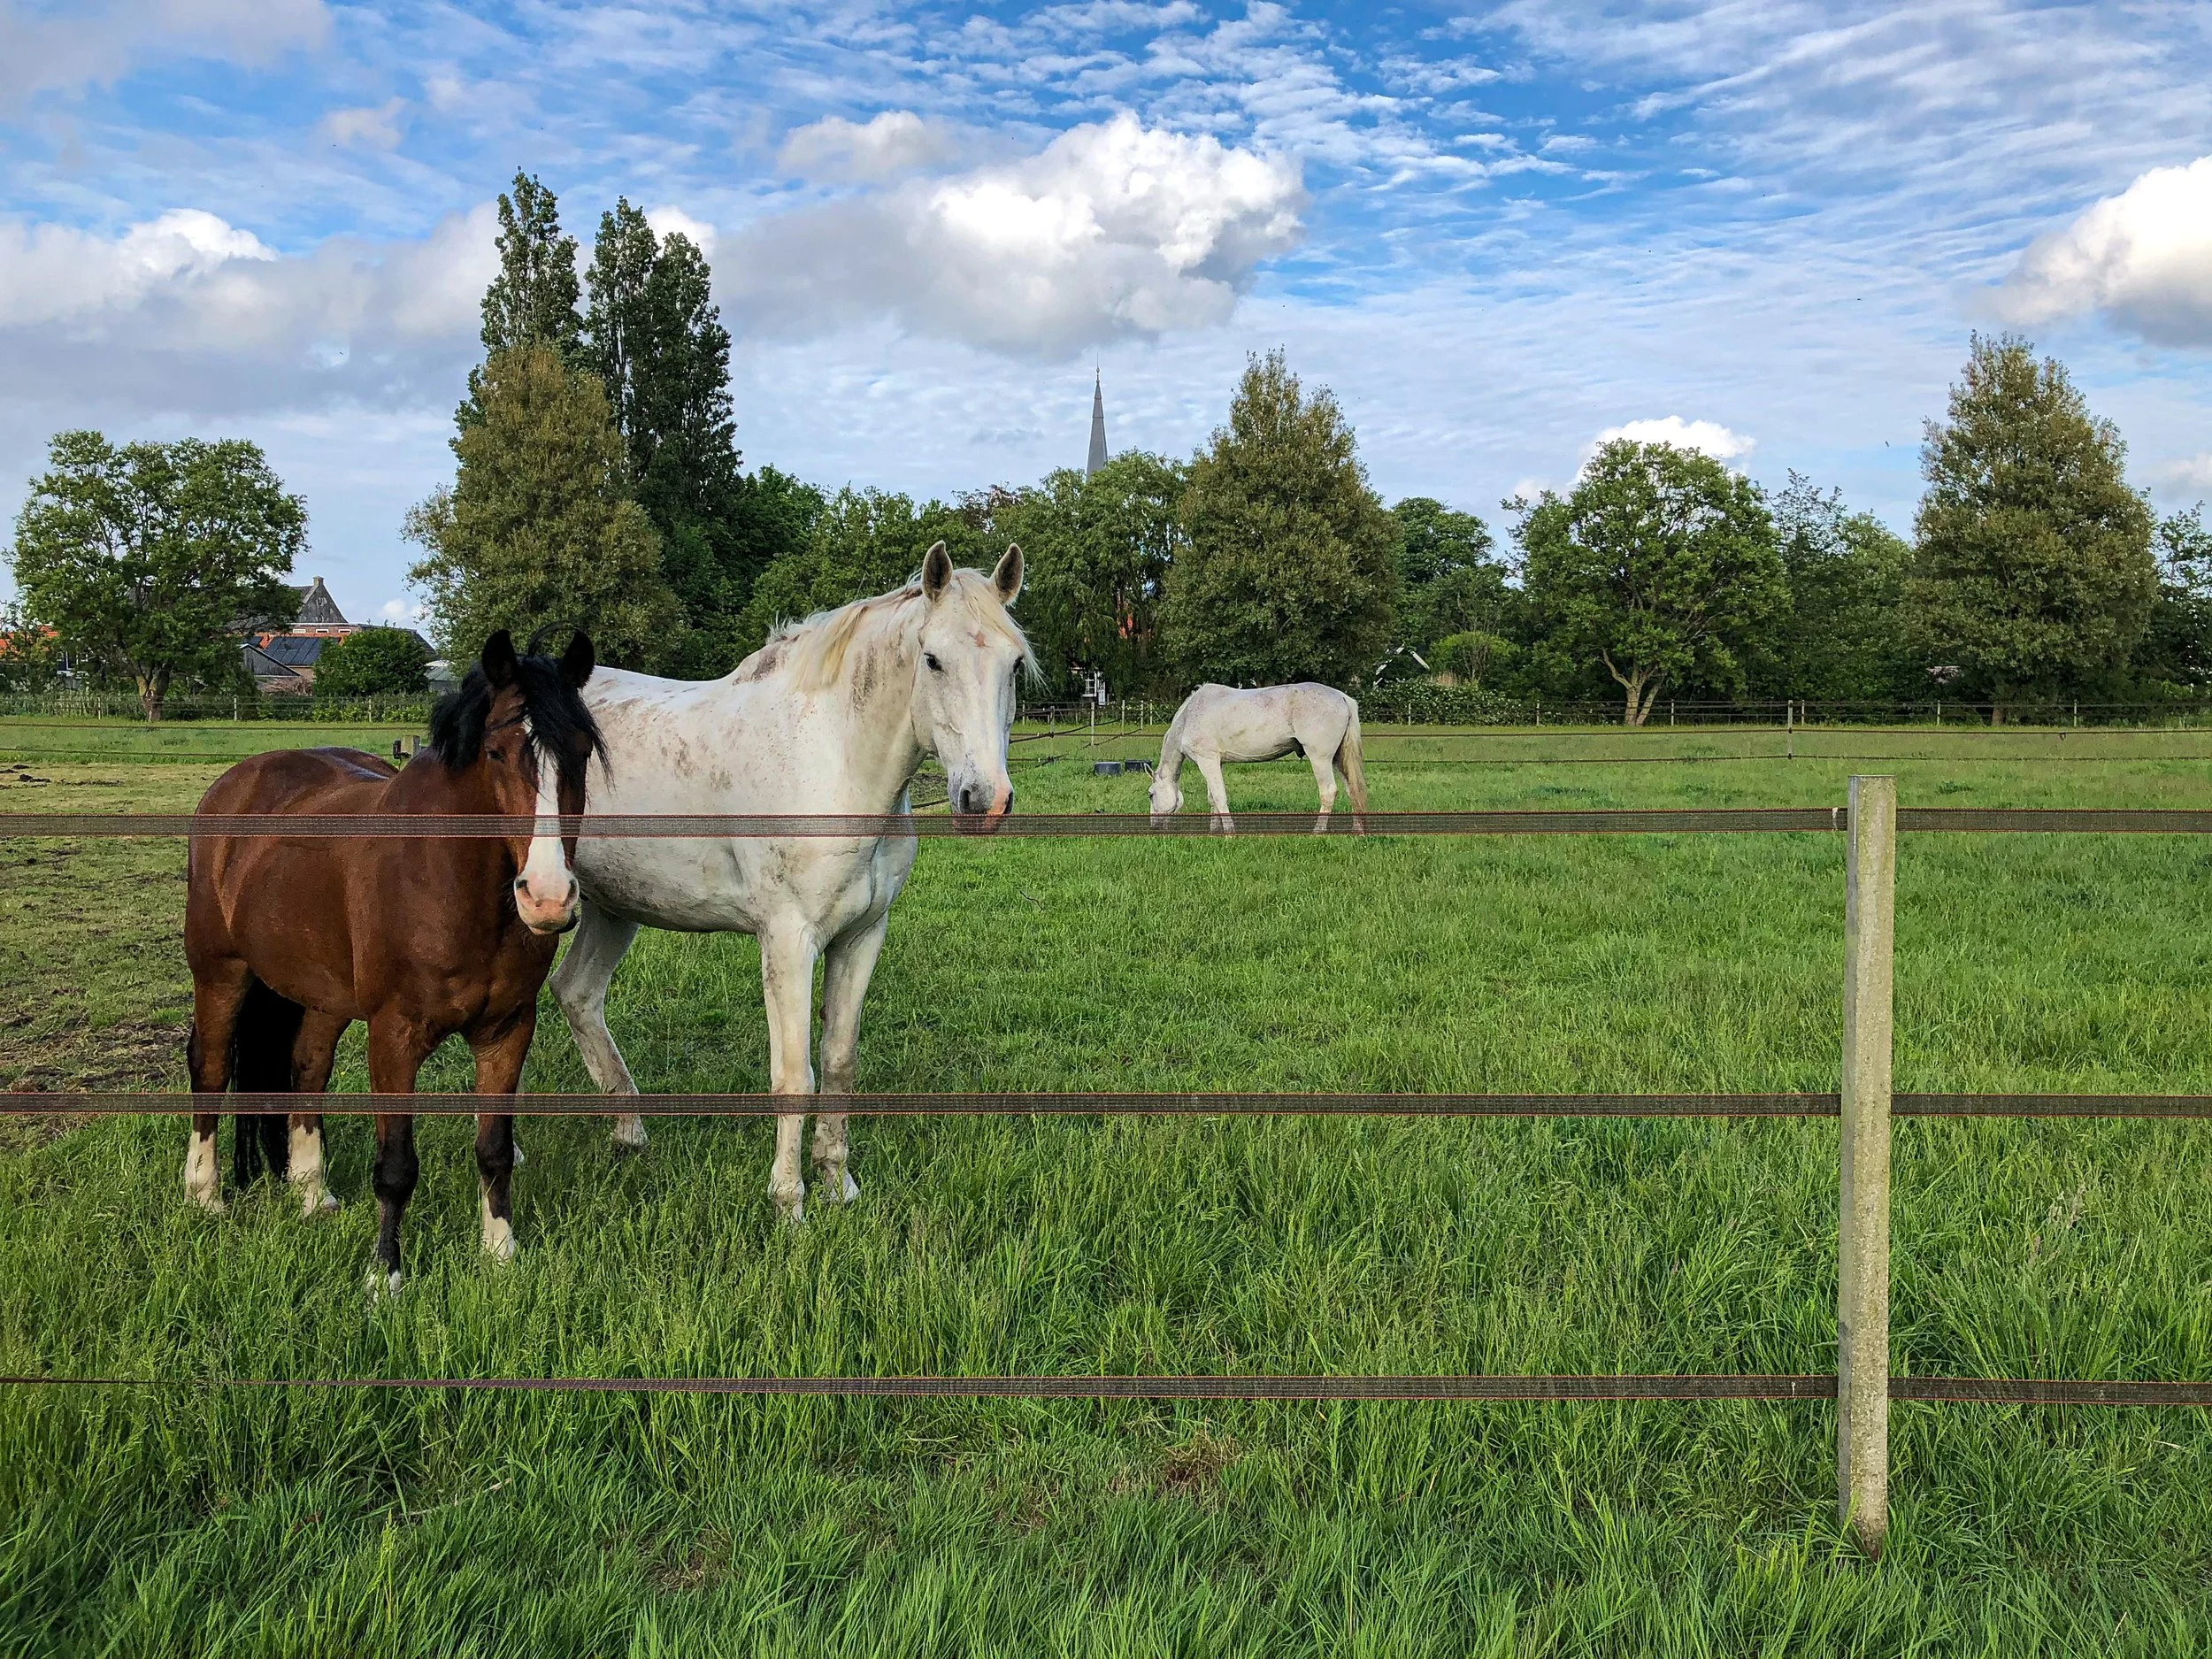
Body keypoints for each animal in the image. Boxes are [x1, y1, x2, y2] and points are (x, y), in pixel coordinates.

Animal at [183, 629, 602, 1292]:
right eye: (496, 752)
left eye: (581, 753)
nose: (548, 897)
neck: (446, 882)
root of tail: (234, 784)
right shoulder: (394, 1036)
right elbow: (397, 1165)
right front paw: (385, 1275)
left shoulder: (508, 1029)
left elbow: (494, 1149)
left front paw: (500, 1254)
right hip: (219, 969)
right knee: (212, 1065)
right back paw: (205, 1195)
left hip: (320, 993)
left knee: (307, 1068)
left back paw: (312, 1195)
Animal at [552, 542, 1029, 1221]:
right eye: (933, 659)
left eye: (1013, 664)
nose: (985, 799)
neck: (832, 760)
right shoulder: (787, 939)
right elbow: (793, 1073)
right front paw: (789, 1203)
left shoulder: (860, 937)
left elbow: (838, 1061)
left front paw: (838, 1184)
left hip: (612, 907)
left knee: (577, 993)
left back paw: (629, 1133)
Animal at [1148, 682, 1367, 833]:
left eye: (1150, 794)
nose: (1153, 826)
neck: (1189, 717)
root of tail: (1342, 697)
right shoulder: (1215, 763)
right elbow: (1212, 798)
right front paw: (1214, 831)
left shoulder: (1207, 761)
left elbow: (1220, 797)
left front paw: (1229, 833)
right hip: (1338, 759)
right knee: (1351, 789)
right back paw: (1358, 830)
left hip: (1320, 759)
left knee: (1328, 792)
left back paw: (1317, 832)